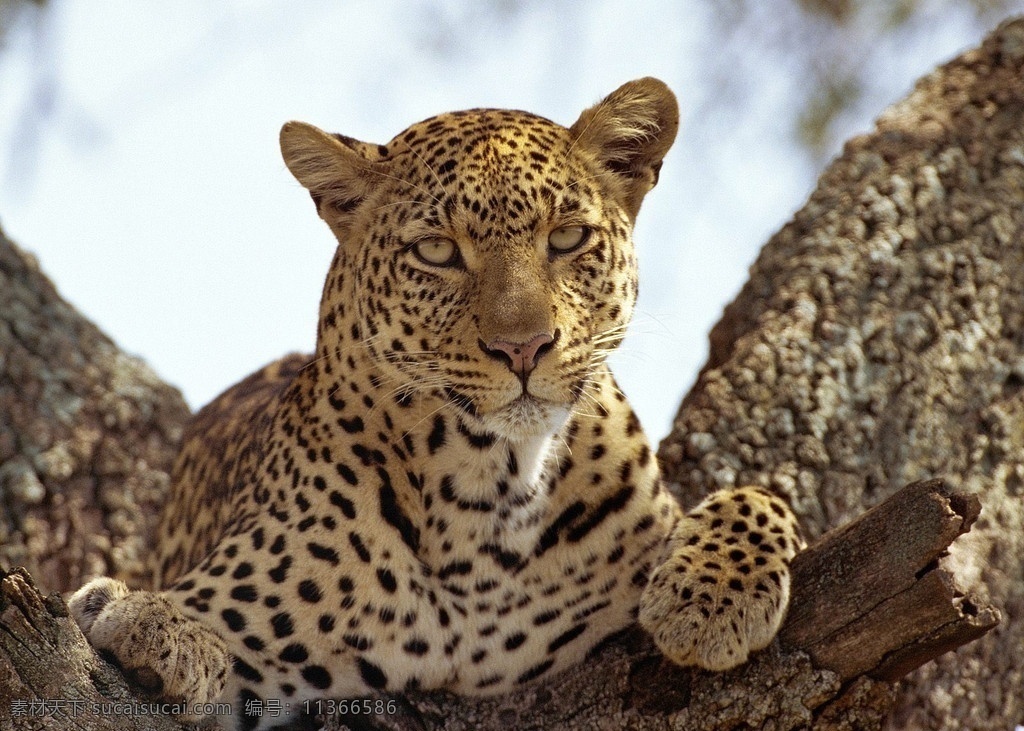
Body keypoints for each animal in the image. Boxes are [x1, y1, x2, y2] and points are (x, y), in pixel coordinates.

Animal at [68, 76, 802, 724]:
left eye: (567, 238)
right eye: (437, 251)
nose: (523, 346)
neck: (490, 489)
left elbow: (759, 496)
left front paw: (710, 599)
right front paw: (148, 622)